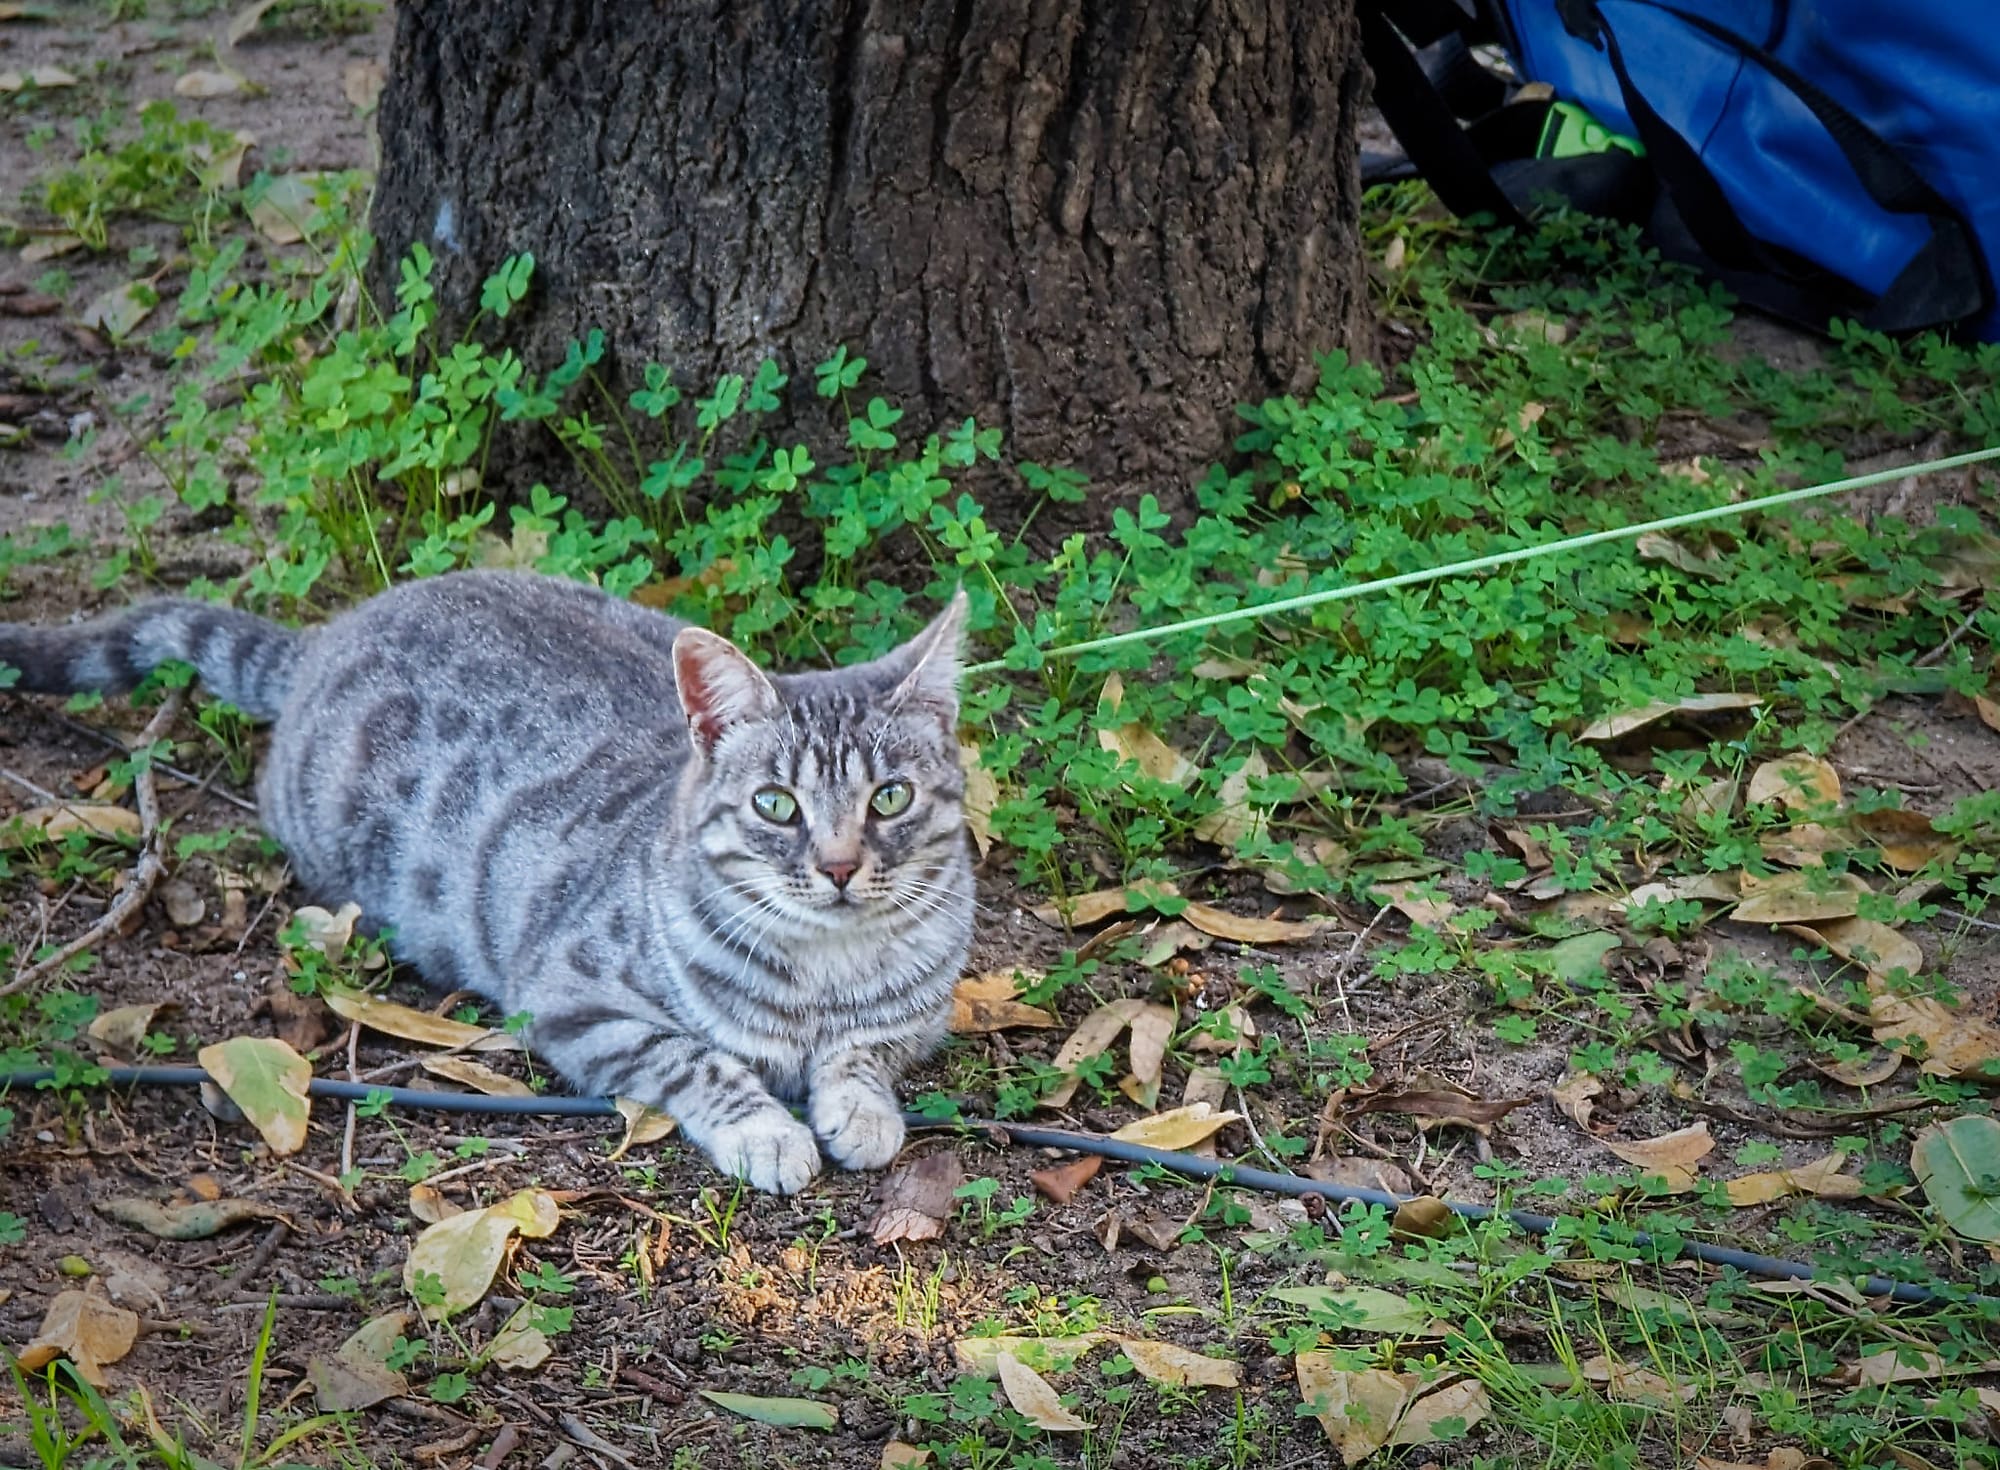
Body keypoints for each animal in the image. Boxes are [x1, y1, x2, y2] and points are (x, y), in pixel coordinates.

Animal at [0, 576, 968, 1200]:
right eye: (776, 804)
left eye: (890, 797)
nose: (838, 867)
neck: (825, 974)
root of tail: (332, 631)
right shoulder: (576, 997)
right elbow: (697, 1059)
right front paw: (767, 1129)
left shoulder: (920, 1014)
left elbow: (868, 1049)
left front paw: (860, 1107)